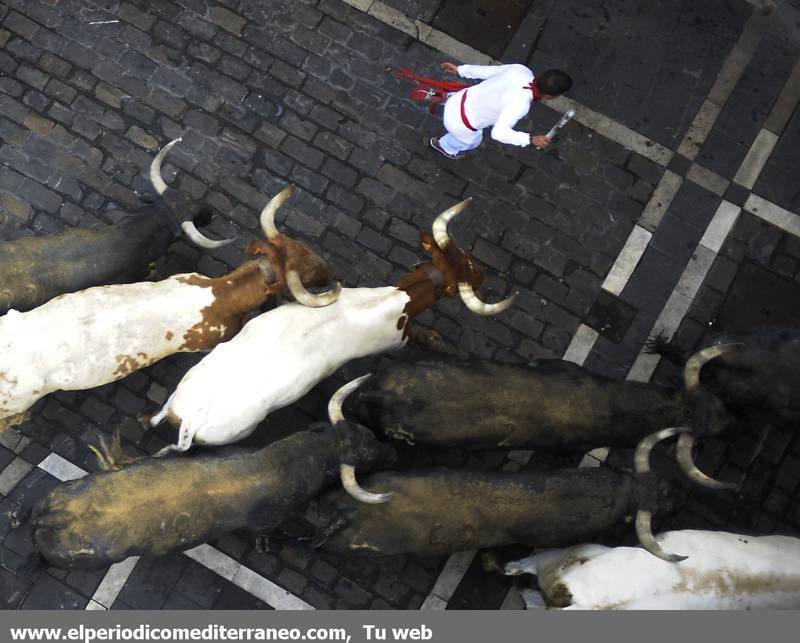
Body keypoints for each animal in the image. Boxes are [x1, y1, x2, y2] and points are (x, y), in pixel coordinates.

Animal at [150, 199, 512, 460]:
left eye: (464, 253)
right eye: (467, 268)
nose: (483, 275)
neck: (395, 301)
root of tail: (190, 420)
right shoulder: (395, 340)